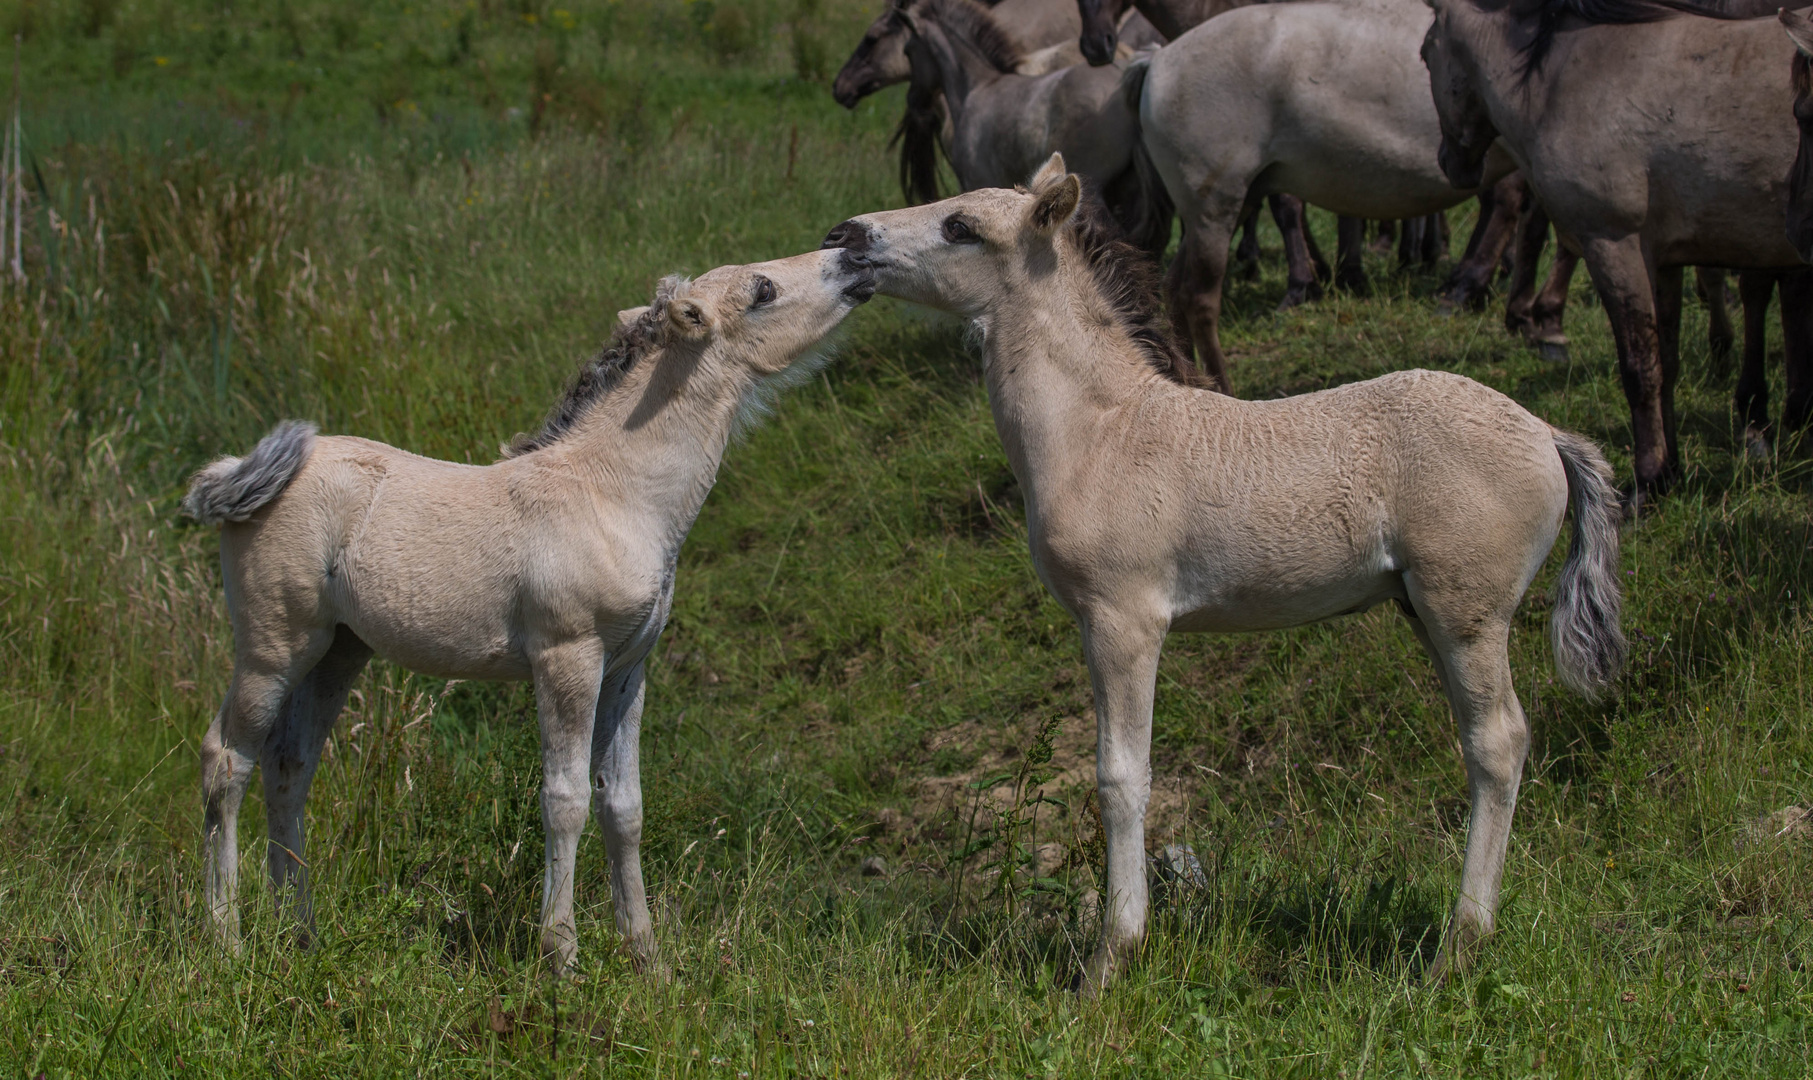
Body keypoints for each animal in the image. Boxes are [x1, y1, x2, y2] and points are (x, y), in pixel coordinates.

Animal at [826, 155, 1631, 993]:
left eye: (960, 225)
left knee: (1497, 742)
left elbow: (1120, 777)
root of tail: (1547, 433)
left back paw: (1456, 949)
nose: (846, 237)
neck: (1099, 432)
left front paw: (1110, 959)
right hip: (1426, 609)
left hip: (1464, 610)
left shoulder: (1122, 620)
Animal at [1428, 0, 1798, 503]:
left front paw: (1648, 480)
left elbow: (1640, 369)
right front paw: (1671, 471)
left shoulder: (1613, 245)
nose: (1448, 163)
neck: (1572, 76)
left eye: (1425, 53)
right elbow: (1667, 361)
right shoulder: (1662, 258)